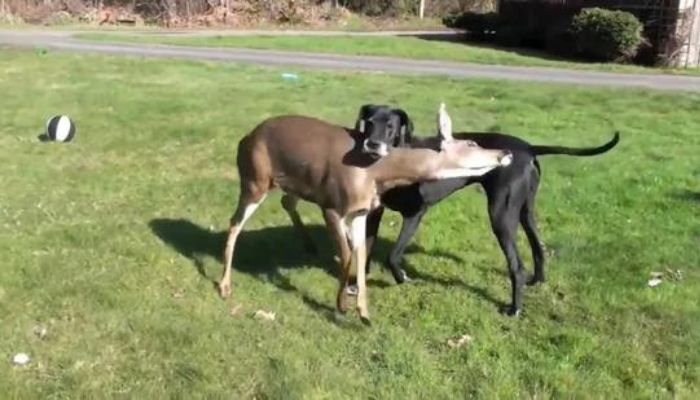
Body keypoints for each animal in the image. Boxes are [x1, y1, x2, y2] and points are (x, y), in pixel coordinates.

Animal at [219, 104, 513, 324]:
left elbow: (361, 253)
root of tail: (245, 138)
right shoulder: (332, 205)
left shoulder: (360, 211)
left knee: (286, 201)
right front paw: (342, 305)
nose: (506, 152)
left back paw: (309, 245)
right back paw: (225, 287)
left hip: (295, 182)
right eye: (472, 143)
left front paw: (364, 312)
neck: (376, 172)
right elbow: (348, 254)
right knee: (234, 223)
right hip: (255, 179)